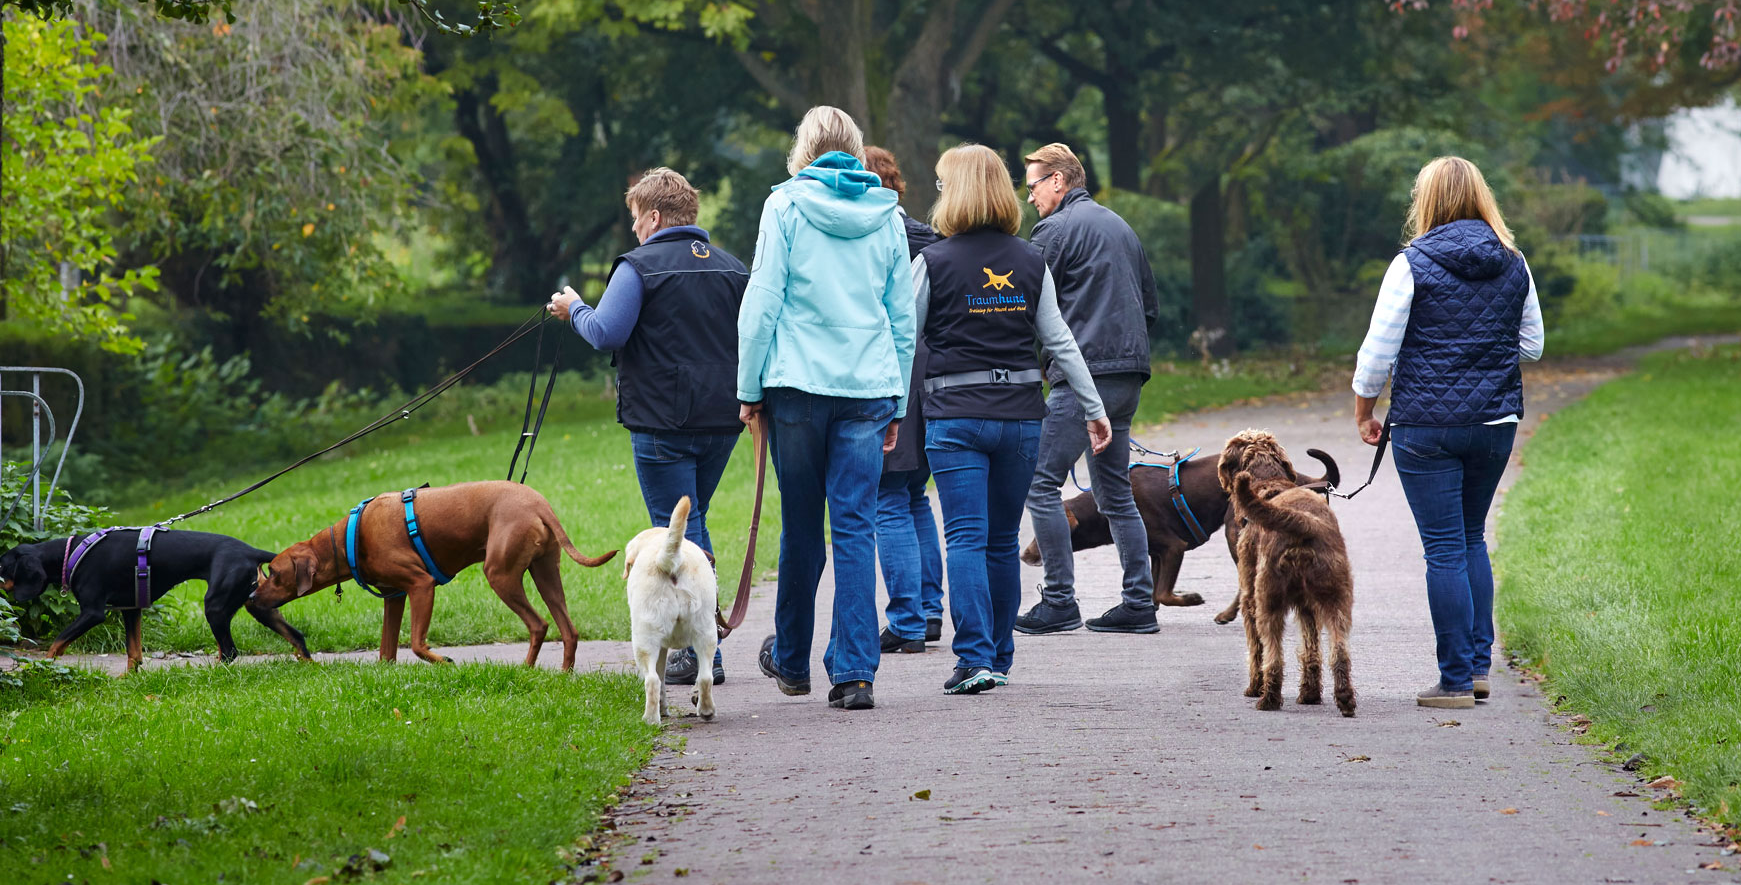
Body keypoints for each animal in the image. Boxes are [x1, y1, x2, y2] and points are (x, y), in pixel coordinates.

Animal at [0, 533, 309, 668]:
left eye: (2, 566)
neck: (73, 553)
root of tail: (250, 550)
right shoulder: (131, 608)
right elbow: (133, 653)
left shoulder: (93, 612)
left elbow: (56, 644)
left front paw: (40, 669)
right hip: (258, 605)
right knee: (297, 636)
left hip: (216, 607)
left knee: (230, 652)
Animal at [250, 484, 619, 668]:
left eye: (273, 573)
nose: (251, 597)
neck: (349, 538)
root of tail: (539, 504)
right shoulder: (394, 596)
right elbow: (386, 652)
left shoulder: (421, 585)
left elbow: (415, 644)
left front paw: (443, 661)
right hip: (545, 574)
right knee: (568, 630)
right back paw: (563, 675)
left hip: (499, 574)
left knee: (538, 624)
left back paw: (526, 671)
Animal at [1218, 430, 1351, 717]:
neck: (1269, 483)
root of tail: (1304, 523)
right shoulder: (1307, 607)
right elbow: (1311, 649)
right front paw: (1310, 693)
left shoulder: (1249, 599)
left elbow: (1256, 649)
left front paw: (1254, 686)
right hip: (1337, 600)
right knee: (1339, 651)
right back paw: (1345, 699)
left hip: (1268, 599)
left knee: (1273, 656)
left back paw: (1267, 698)